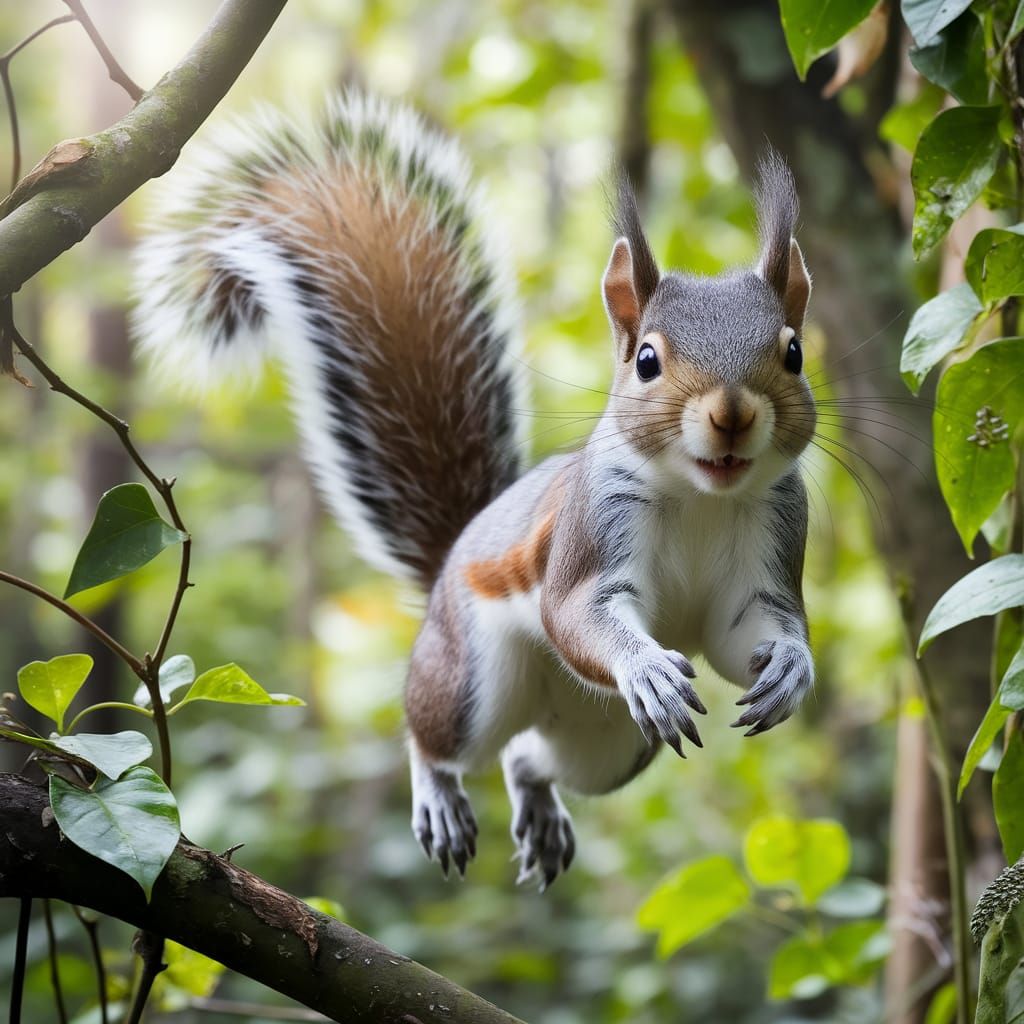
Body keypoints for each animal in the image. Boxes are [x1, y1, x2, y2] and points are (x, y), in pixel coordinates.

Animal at [134, 92, 816, 889]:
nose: (733, 415)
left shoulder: (773, 542)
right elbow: (575, 613)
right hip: (471, 681)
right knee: (438, 736)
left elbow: (749, 634)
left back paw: (541, 809)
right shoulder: (589, 535)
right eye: (646, 360)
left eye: (794, 352)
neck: (704, 496)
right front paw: (644, 667)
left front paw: (790, 669)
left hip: (610, 745)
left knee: (529, 760)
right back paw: (439, 794)